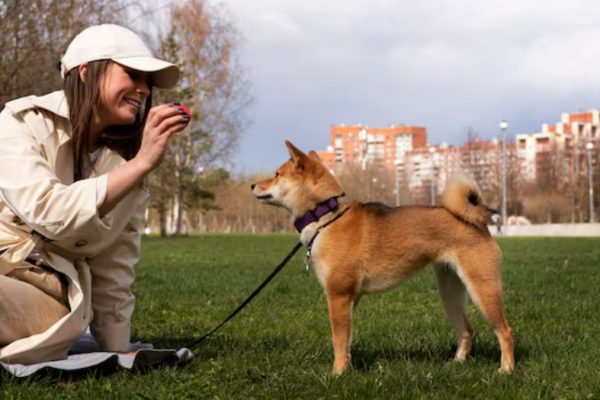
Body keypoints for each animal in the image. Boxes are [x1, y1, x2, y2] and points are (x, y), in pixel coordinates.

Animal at [251, 141, 512, 376]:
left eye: (277, 174)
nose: (253, 184)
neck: (325, 216)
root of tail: (478, 223)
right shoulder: (350, 299)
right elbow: (346, 341)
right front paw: (346, 368)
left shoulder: (338, 296)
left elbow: (338, 340)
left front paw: (337, 374)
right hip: (451, 292)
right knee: (467, 330)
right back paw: (457, 363)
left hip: (482, 288)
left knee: (505, 331)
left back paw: (507, 369)